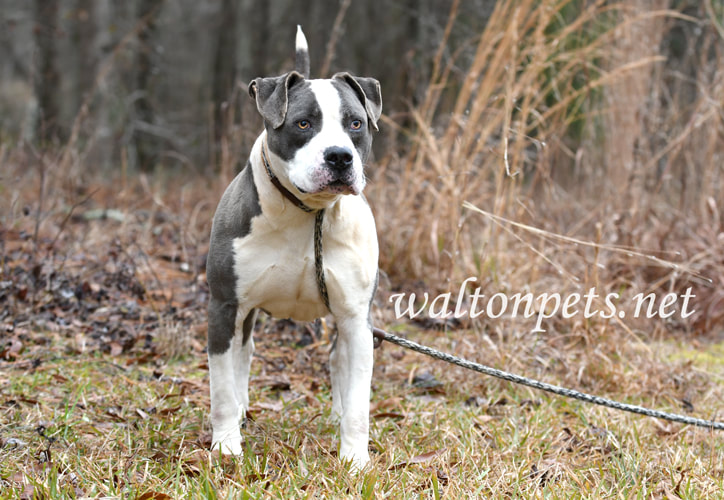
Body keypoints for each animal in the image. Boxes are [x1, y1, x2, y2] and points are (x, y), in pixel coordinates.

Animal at [205, 25, 382, 466]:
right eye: (303, 124)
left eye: (356, 123)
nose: (339, 157)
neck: (308, 214)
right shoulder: (224, 305)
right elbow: (221, 387)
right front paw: (227, 444)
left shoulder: (357, 317)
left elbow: (359, 402)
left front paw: (355, 460)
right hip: (243, 313)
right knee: (243, 355)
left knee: (337, 361)